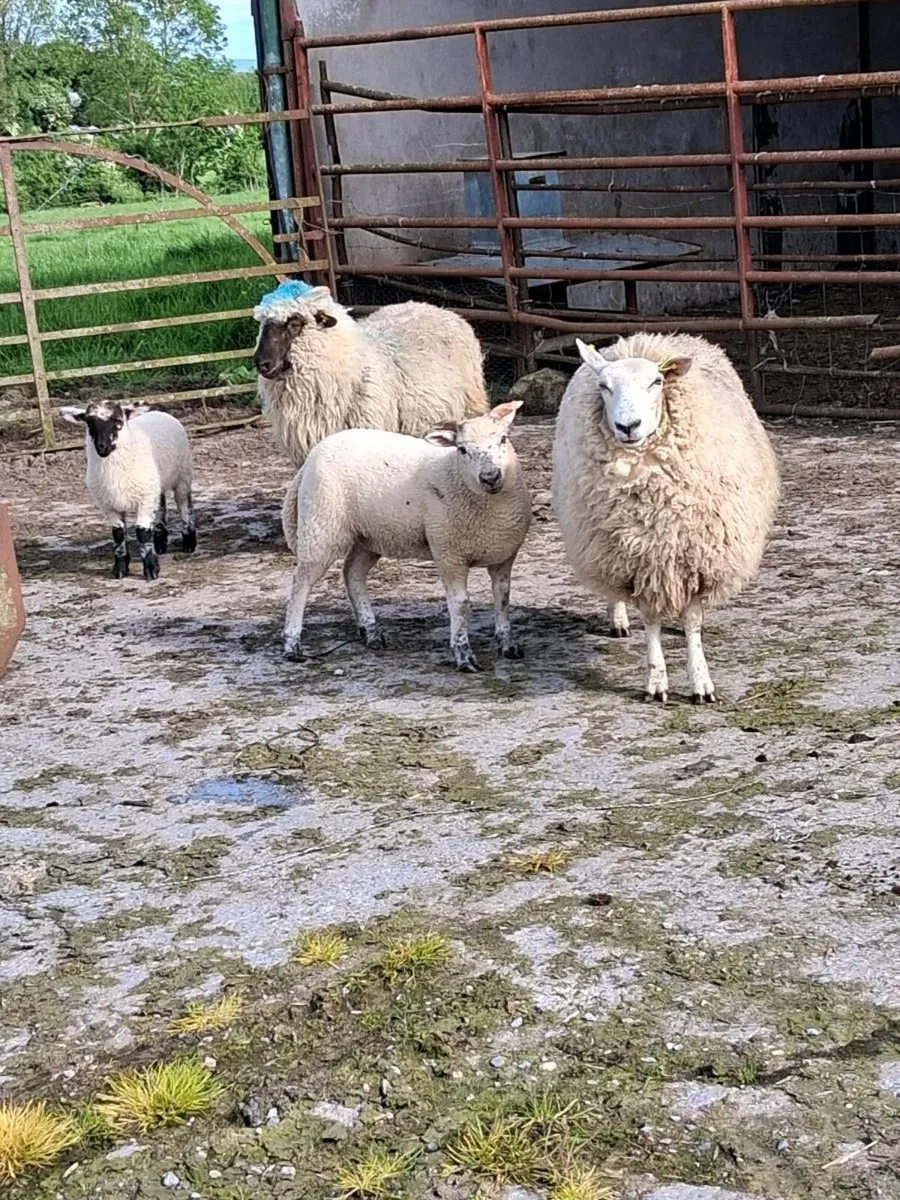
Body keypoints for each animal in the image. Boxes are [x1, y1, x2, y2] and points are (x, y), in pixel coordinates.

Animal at [58, 401, 196, 581]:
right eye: (89, 422)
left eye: (118, 422)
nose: (102, 447)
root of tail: (160, 412)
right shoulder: (109, 505)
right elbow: (118, 534)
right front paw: (121, 568)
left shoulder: (144, 499)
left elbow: (142, 532)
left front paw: (151, 569)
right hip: (155, 483)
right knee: (161, 505)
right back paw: (160, 543)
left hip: (182, 476)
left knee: (184, 505)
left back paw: (189, 542)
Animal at [280, 401, 531, 670]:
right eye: (462, 449)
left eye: (503, 439)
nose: (490, 477)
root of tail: (311, 458)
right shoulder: (448, 553)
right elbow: (460, 604)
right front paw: (463, 655)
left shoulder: (503, 555)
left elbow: (503, 597)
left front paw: (508, 645)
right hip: (321, 527)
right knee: (301, 583)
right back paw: (292, 644)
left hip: (370, 535)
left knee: (352, 574)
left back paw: (371, 632)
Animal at [552, 332, 779, 703]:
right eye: (604, 386)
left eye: (656, 382)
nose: (628, 426)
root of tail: (645, 339)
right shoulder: (641, 561)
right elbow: (650, 621)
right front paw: (657, 681)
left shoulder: (695, 558)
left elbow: (692, 622)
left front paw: (701, 681)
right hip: (604, 546)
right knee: (612, 589)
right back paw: (618, 619)